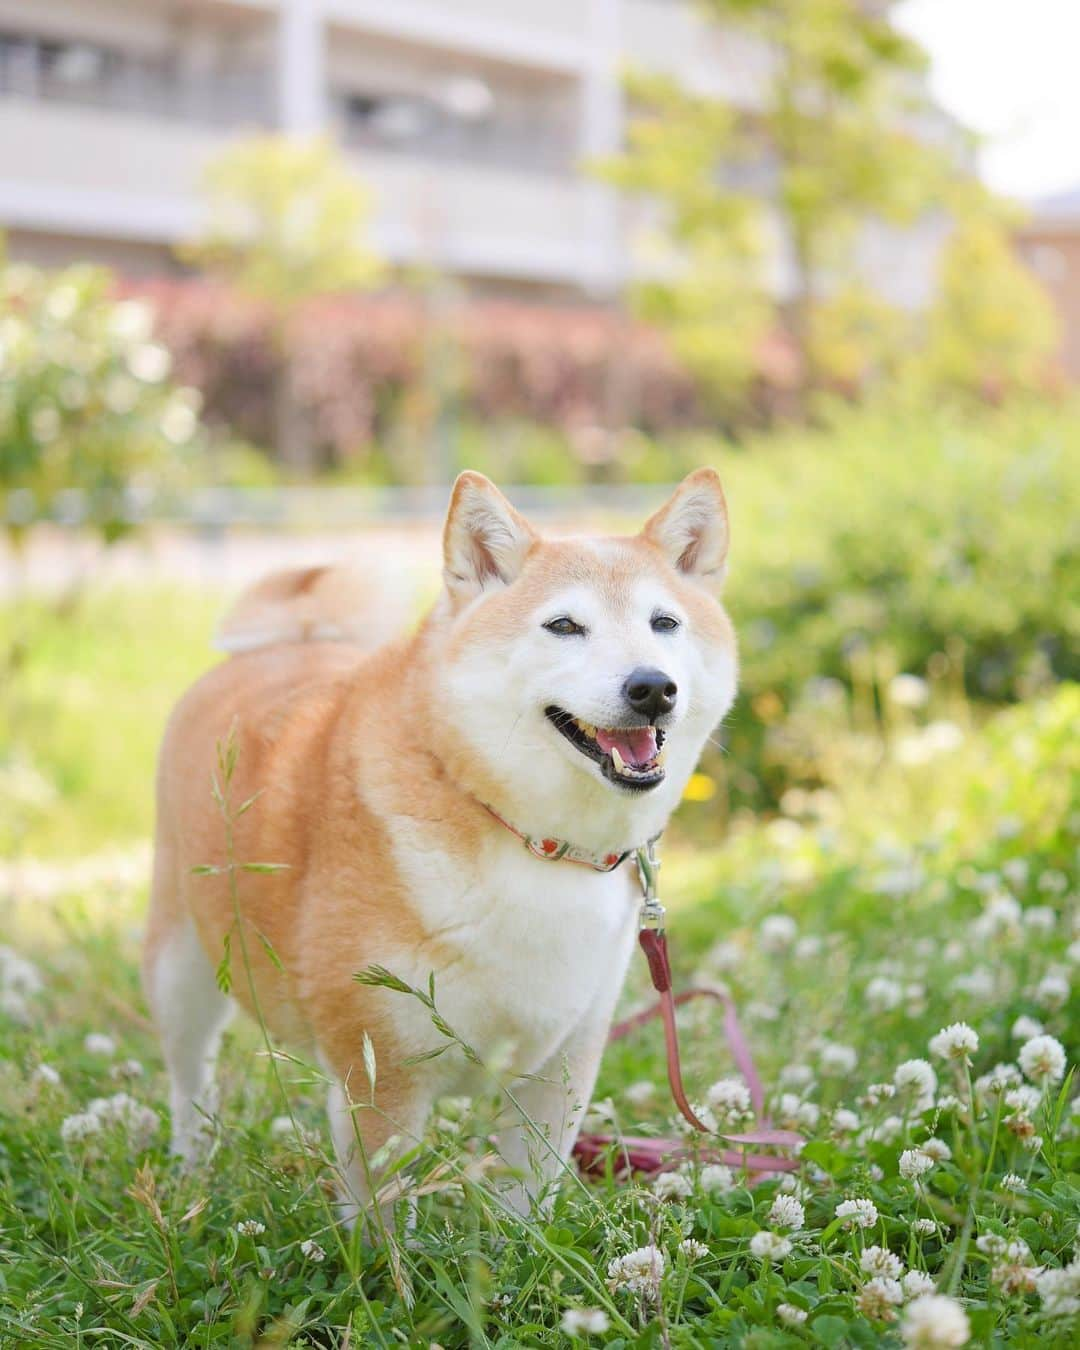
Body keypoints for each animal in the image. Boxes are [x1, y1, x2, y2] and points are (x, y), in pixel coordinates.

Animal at [141, 469, 734, 1220]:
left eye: (665, 623)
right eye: (565, 626)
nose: (653, 686)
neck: (534, 842)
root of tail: (289, 639)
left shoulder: (560, 1066)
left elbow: (526, 1205)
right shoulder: (381, 1072)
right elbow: (381, 1216)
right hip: (181, 969)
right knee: (189, 1080)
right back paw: (191, 1168)